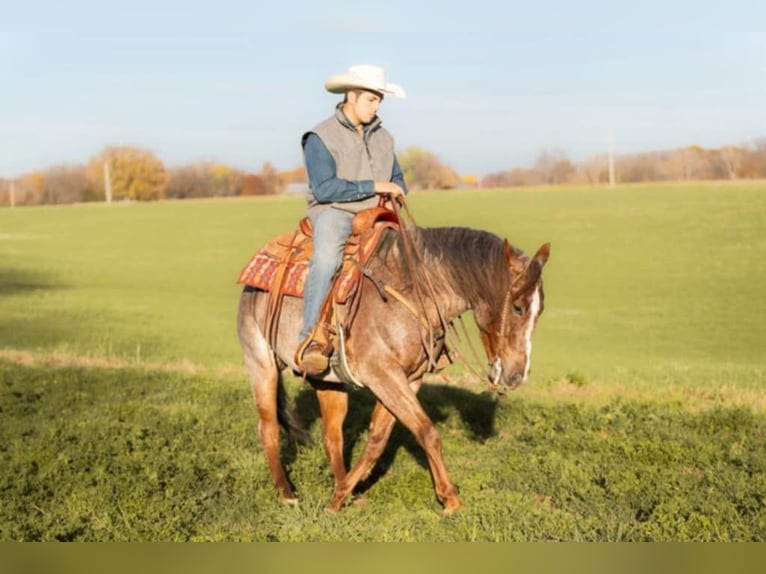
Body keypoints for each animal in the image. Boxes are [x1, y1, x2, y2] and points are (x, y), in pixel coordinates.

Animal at [237, 223, 548, 516]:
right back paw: (287, 494)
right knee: (268, 429)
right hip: (262, 365)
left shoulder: (408, 379)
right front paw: (451, 500)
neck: (418, 290)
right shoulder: (382, 374)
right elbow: (426, 431)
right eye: (518, 307)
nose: (517, 375)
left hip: (327, 381)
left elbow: (378, 439)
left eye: (539, 310)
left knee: (332, 436)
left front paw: (340, 496)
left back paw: (343, 488)